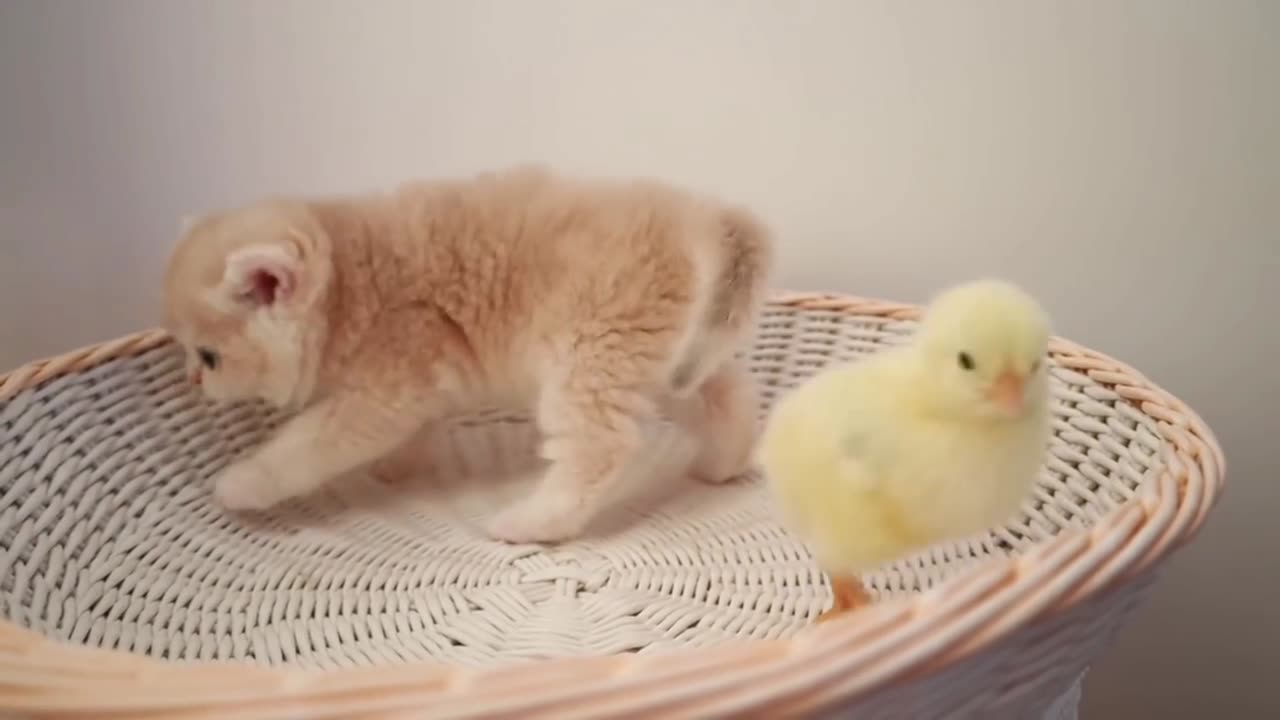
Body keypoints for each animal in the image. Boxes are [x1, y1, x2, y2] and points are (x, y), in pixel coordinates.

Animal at [165, 165, 773, 540]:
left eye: (209, 356)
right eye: (191, 354)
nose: (193, 381)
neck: (345, 287)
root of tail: (698, 215)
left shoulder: (380, 393)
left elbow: (302, 447)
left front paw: (243, 483)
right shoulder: (416, 387)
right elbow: (414, 434)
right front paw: (397, 467)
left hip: (590, 356)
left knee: (598, 447)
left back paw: (532, 523)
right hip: (662, 360)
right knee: (728, 393)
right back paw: (723, 462)